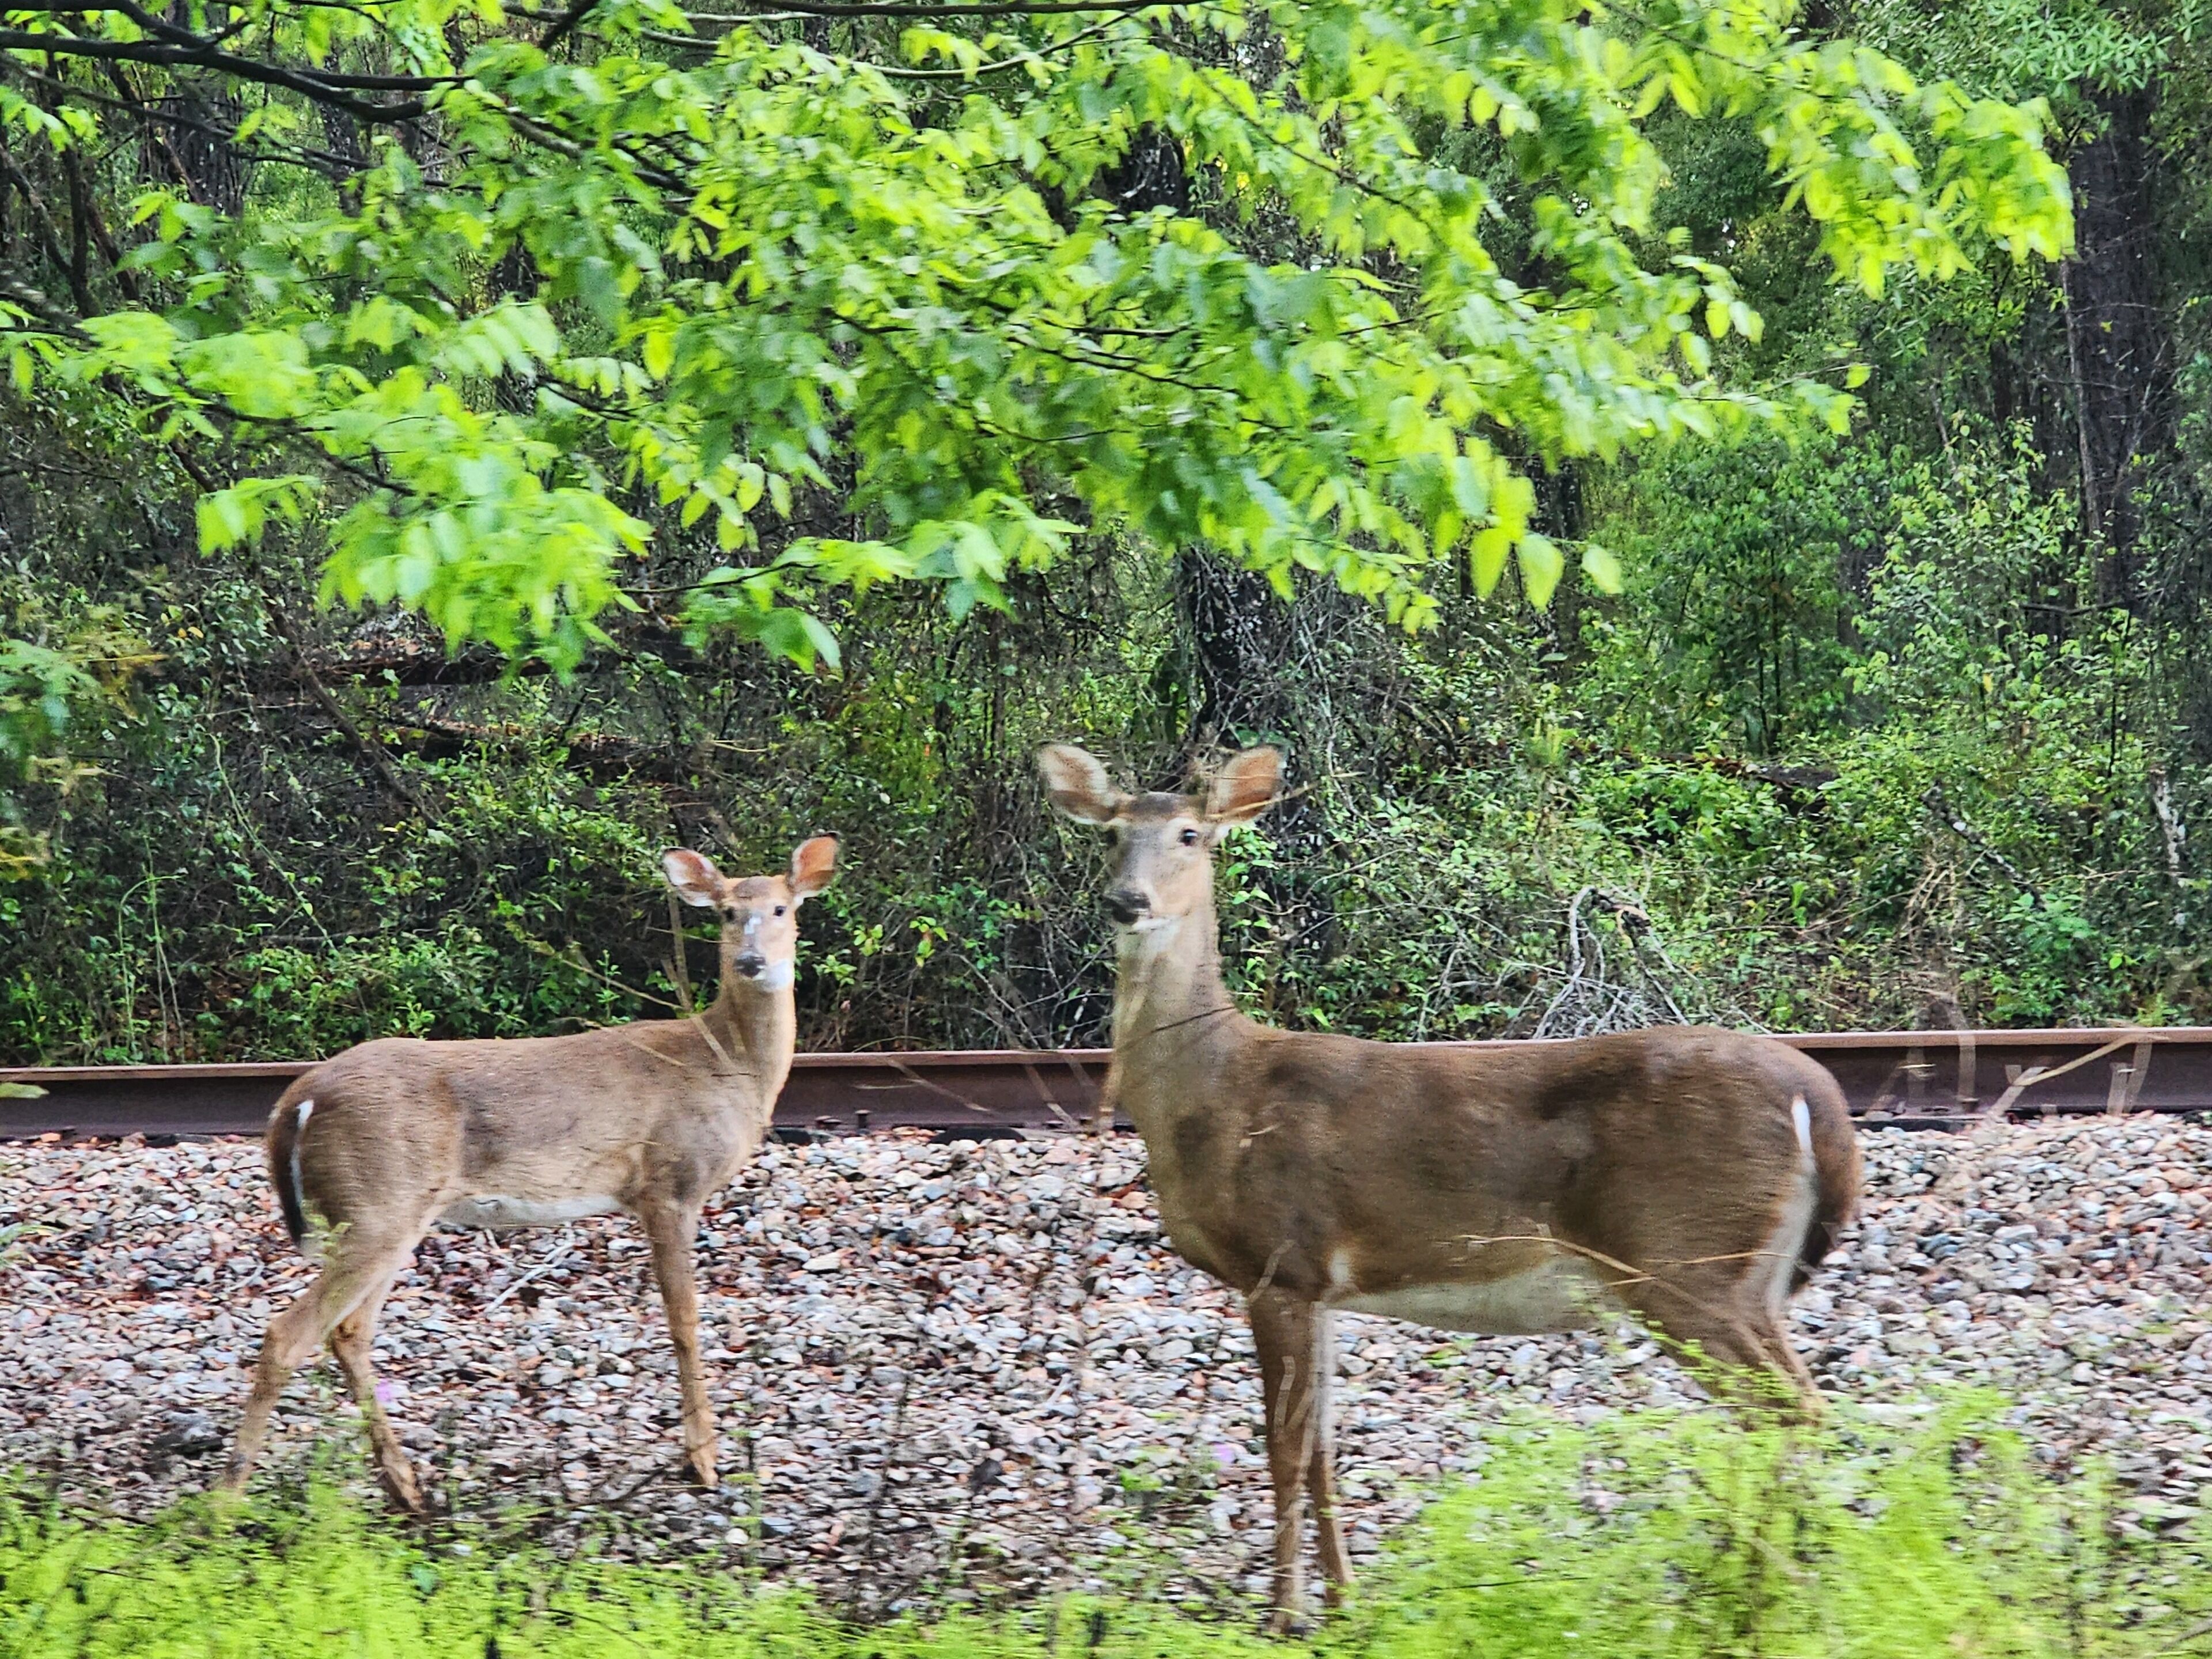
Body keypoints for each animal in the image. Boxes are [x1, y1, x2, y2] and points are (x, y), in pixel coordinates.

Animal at [219, 836, 839, 1511]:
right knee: (288, 1334)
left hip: (387, 1215)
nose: (752, 960)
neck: (727, 1065)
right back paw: (227, 1500)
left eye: (781, 908)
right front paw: (704, 1461)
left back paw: (406, 1487)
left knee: (349, 1331)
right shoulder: (670, 1181)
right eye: (728, 912)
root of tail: (294, 1102)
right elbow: (685, 1322)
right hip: (377, 1204)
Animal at [1036, 742, 1859, 1631]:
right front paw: (1344, 1605)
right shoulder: (1324, 1287)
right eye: (1111, 833)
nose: (1127, 901)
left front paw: (1284, 1616)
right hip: (1751, 1277)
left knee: (1791, 1408)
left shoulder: (1279, 1260)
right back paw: (1756, 1587)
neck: (1212, 1094)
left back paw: (1757, 1599)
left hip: (1688, 1258)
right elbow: (1324, 1448)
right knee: (1780, 1411)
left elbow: (1284, 1447)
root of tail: (1820, 1101)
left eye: (1190, 834)